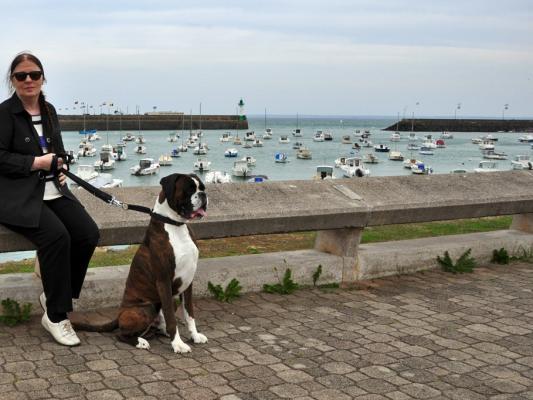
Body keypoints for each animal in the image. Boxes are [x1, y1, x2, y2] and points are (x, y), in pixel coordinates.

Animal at [115, 173, 207, 352]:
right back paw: (140, 341)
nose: (203, 195)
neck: (176, 225)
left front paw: (194, 335)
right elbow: (172, 319)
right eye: (189, 189)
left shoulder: (188, 282)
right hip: (147, 308)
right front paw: (178, 344)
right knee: (120, 334)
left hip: (171, 300)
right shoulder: (164, 281)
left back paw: (159, 332)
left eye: (202, 188)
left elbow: (189, 314)